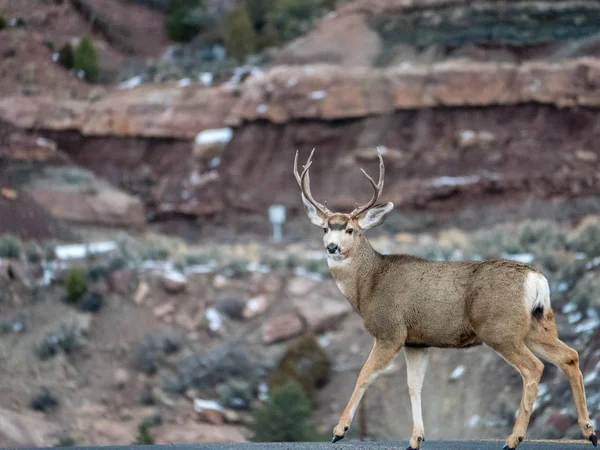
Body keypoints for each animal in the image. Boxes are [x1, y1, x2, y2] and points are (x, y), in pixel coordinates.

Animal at [292, 149, 596, 450]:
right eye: (325, 229)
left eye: (350, 230)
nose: (332, 247)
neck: (368, 285)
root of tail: (536, 279)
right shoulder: (417, 341)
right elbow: (414, 385)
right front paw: (416, 438)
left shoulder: (391, 331)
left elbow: (364, 375)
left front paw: (339, 430)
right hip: (537, 325)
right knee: (569, 356)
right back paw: (589, 431)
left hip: (500, 328)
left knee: (534, 368)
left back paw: (514, 439)